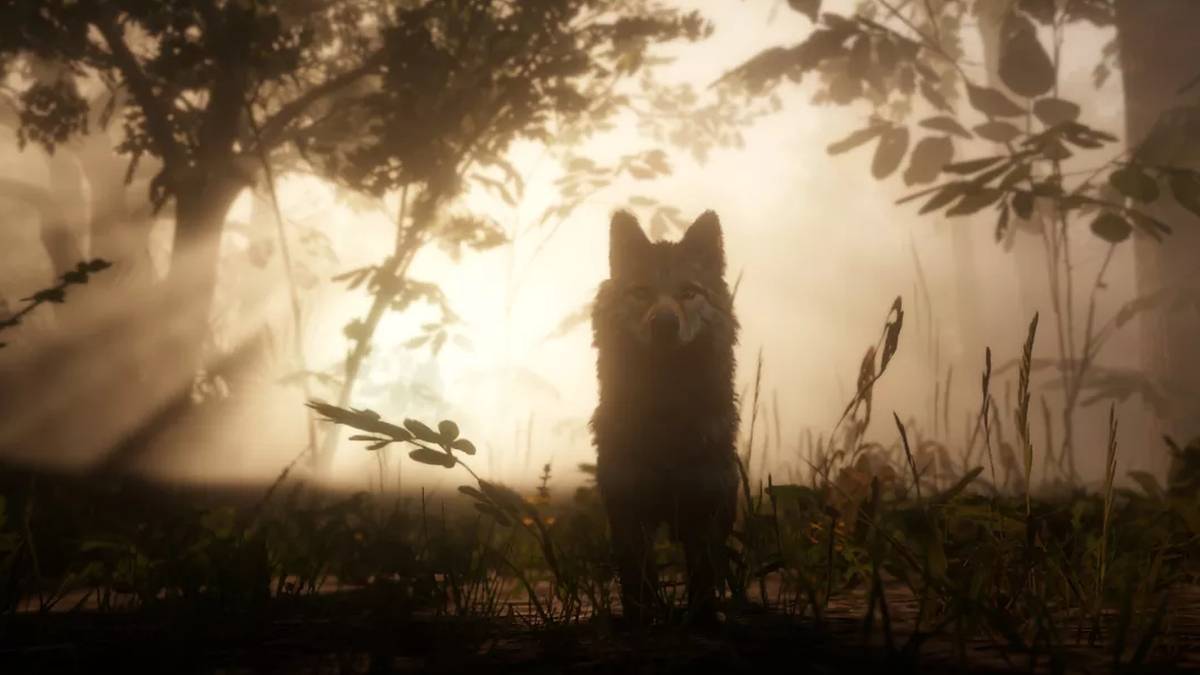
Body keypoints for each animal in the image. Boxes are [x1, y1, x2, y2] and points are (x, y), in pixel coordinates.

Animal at [590, 209, 740, 625]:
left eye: (689, 292)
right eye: (641, 292)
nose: (665, 323)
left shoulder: (702, 511)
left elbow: (703, 577)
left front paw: (705, 621)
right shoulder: (628, 511)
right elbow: (637, 583)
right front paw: (639, 623)